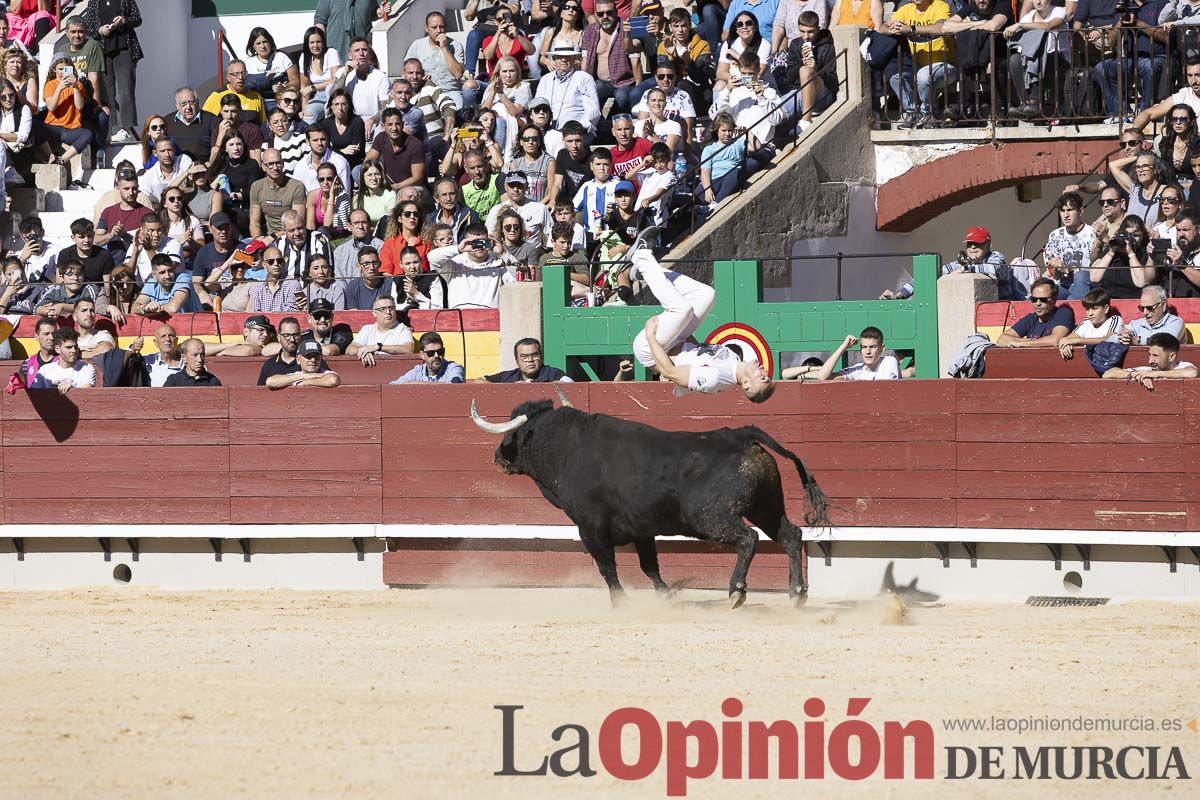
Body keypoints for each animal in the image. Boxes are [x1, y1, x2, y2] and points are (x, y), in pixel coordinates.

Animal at [472, 393, 830, 606]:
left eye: (512, 435)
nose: (496, 457)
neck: (566, 450)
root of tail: (741, 434)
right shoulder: (641, 528)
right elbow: (649, 565)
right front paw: (666, 594)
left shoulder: (590, 529)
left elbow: (607, 568)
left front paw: (621, 603)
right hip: (766, 507)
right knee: (790, 535)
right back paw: (796, 593)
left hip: (710, 516)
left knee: (747, 539)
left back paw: (736, 591)